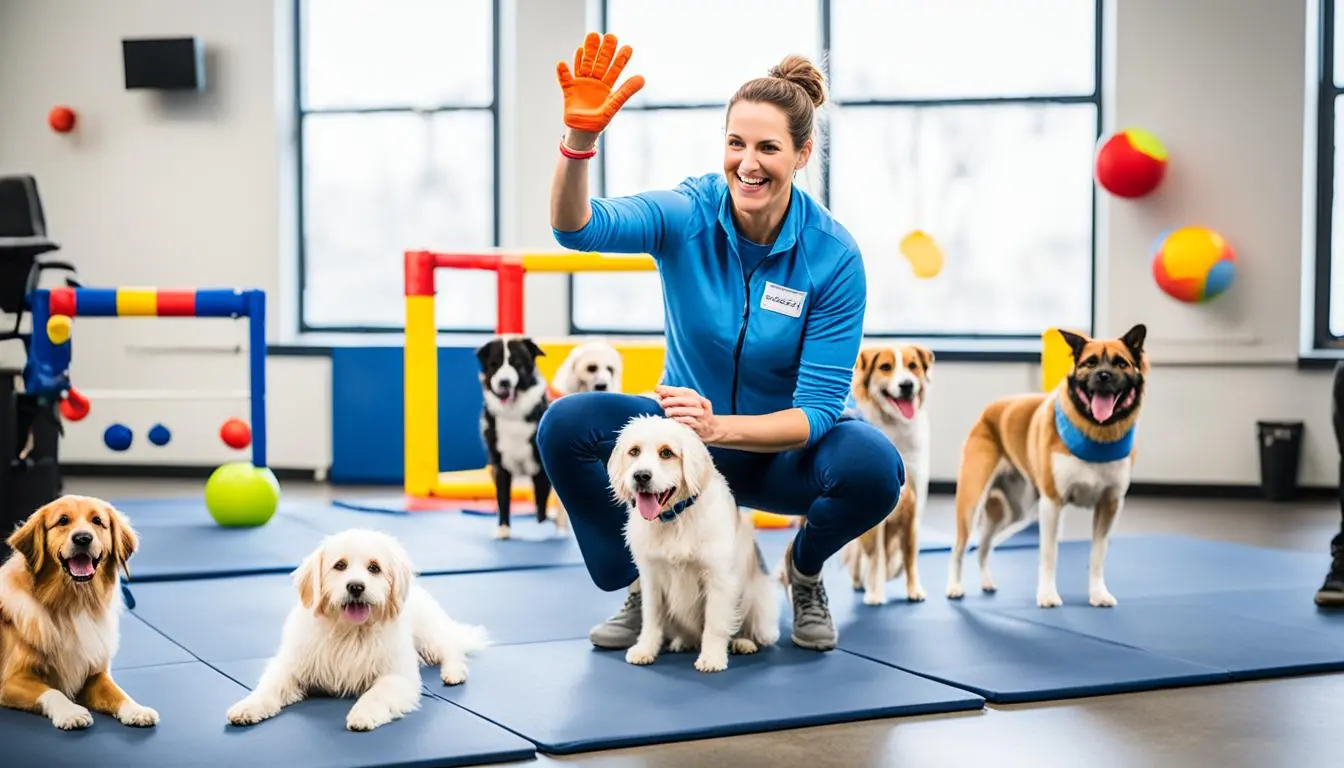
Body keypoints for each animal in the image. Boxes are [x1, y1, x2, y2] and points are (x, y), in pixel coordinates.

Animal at [223, 529, 491, 731]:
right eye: (339, 565)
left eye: (374, 568)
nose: (355, 587)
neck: (351, 631)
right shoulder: (291, 666)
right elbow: (269, 688)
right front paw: (247, 707)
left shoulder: (397, 675)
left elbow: (378, 693)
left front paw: (363, 715)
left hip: (429, 636)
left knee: (452, 648)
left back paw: (454, 673)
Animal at [607, 414, 784, 672]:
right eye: (634, 451)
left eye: (666, 453)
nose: (640, 476)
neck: (676, 518)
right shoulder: (652, 578)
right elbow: (651, 619)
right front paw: (645, 650)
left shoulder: (718, 578)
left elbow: (715, 624)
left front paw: (711, 658)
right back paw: (684, 641)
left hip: (759, 601)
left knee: (747, 627)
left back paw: (743, 642)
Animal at [838, 344, 935, 605]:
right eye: (885, 367)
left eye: (913, 366)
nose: (907, 385)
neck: (895, 428)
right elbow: (877, 557)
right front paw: (875, 593)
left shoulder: (915, 504)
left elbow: (911, 556)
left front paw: (914, 590)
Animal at [946, 322, 1145, 607]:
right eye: (1090, 362)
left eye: (1121, 363)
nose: (1104, 376)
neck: (1096, 432)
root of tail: (988, 411)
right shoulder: (1052, 504)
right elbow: (1049, 554)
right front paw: (1048, 595)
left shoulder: (1110, 505)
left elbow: (1097, 555)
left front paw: (1098, 594)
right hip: (971, 503)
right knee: (959, 547)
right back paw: (954, 587)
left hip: (1016, 511)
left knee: (983, 546)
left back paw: (986, 582)